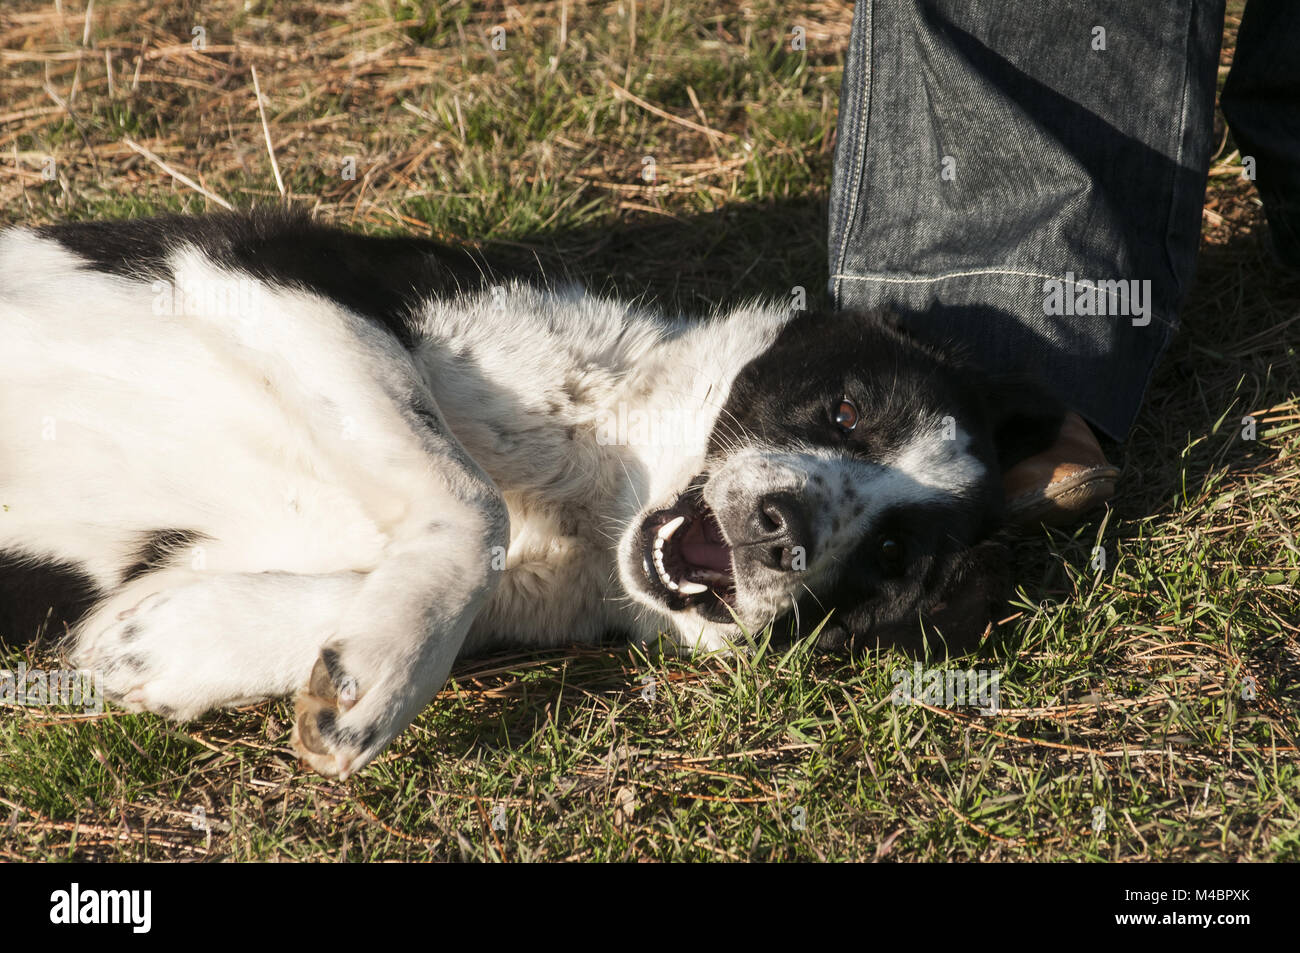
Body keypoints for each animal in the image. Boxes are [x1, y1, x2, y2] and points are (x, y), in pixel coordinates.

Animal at [0, 211, 1055, 774]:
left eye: (890, 558)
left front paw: (195, 645)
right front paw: (381, 681)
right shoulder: (268, 273)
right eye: (845, 409)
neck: (595, 486)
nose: (779, 532)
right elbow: (474, 504)